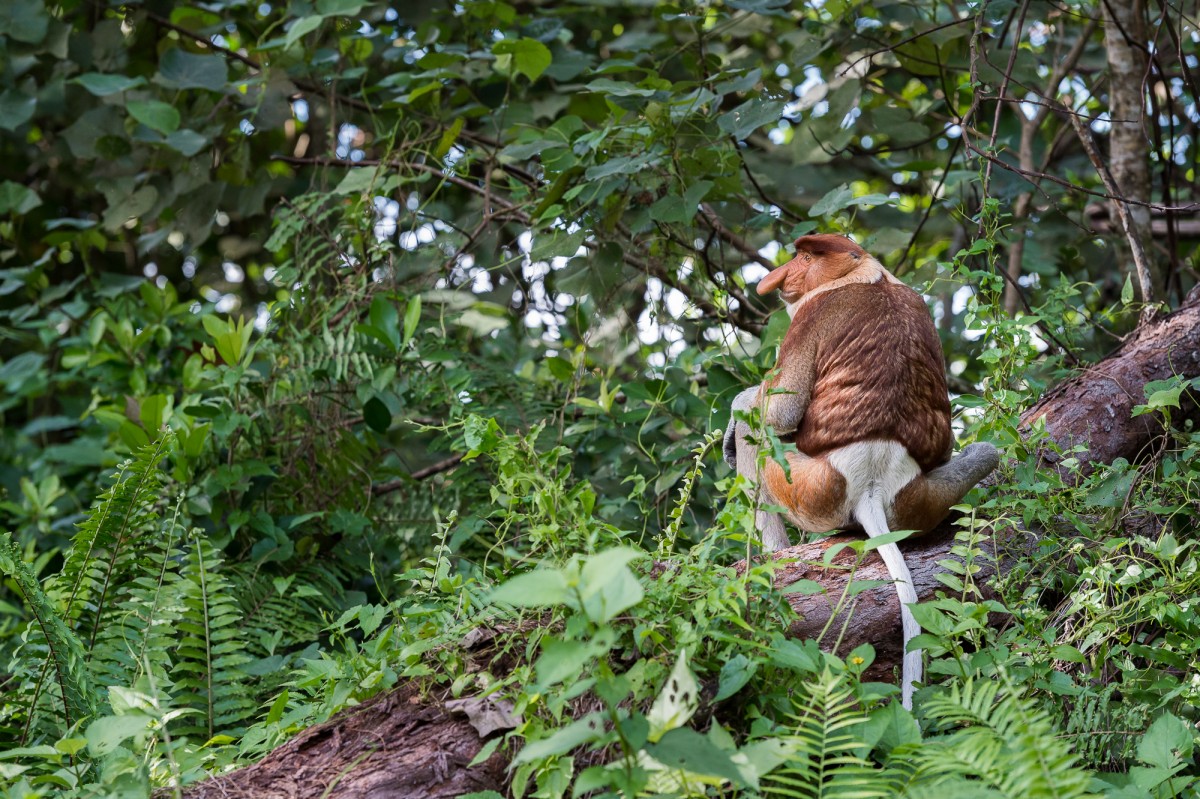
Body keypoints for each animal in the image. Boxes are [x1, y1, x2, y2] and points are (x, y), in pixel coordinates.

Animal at [724, 233, 998, 705]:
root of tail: (871, 486)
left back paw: (774, 557)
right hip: (917, 501)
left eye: (806, 256)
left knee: (756, 437)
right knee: (988, 452)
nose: (780, 277)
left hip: (810, 489)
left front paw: (739, 407)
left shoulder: (812, 315)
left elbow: (777, 412)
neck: (866, 275)